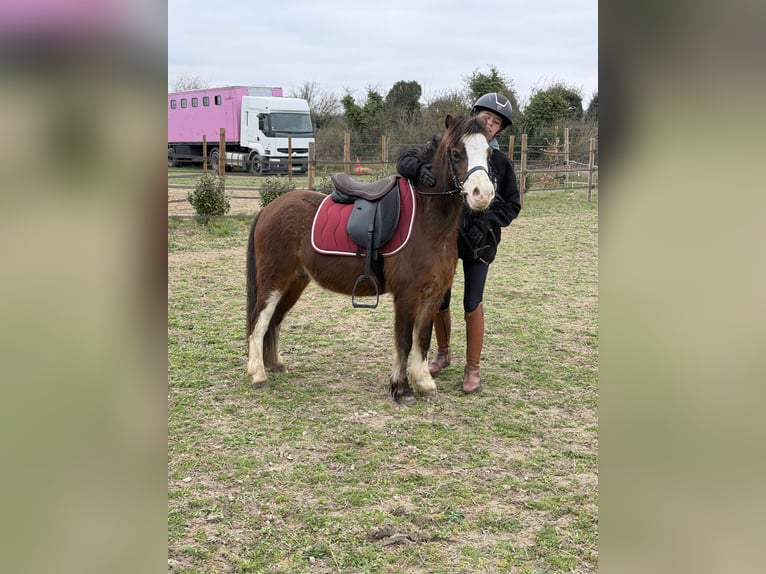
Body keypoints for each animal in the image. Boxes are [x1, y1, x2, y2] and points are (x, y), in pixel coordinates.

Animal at [246, 114, 495, 405]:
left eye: (489, 152)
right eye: (456, 153)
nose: (483, 194)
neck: (427, 220)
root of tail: (269, 209)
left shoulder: (432, 295)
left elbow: (422, 339)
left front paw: (424, 383)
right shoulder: (407, 296)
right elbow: (404, 341)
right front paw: (401, 389)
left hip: (294, 282)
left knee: (273, 321)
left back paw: (274, 364)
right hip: (274, 281)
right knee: (259, 322)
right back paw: (259, 375)